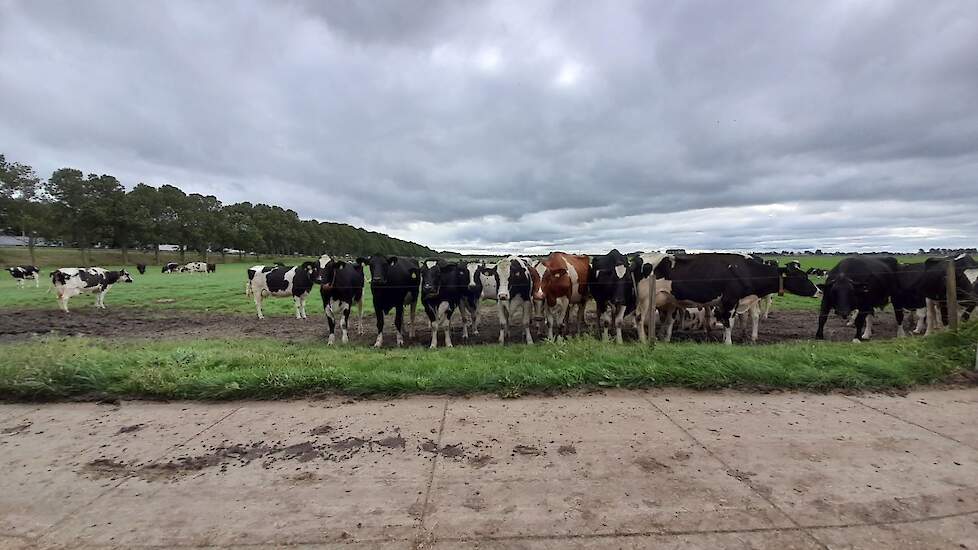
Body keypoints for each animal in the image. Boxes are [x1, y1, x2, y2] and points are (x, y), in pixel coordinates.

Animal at [656, 254, 824, 344]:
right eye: (801, 277)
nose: (820, 291)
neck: (745, 271)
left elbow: (728, 322)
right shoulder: (730, 301)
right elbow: (729, 322)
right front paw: (728, 343)